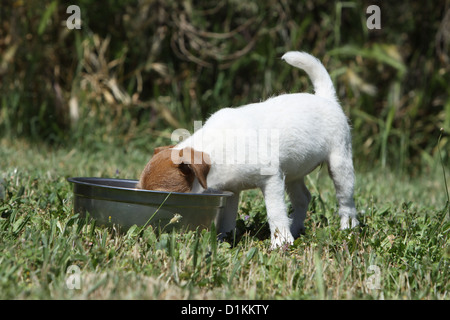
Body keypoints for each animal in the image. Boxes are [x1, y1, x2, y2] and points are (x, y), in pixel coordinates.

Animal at [136, 51, 358, 249]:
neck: (216, 147)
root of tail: (325, 98)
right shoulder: (231, 190)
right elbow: (227, 217)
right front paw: (224, 239)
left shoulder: (272, 179)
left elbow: (275, 212)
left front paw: (280, 242)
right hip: (294, 173)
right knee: (303, 199)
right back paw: (295, 229)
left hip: (340, 162)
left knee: (345, 200)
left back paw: (348, 229)